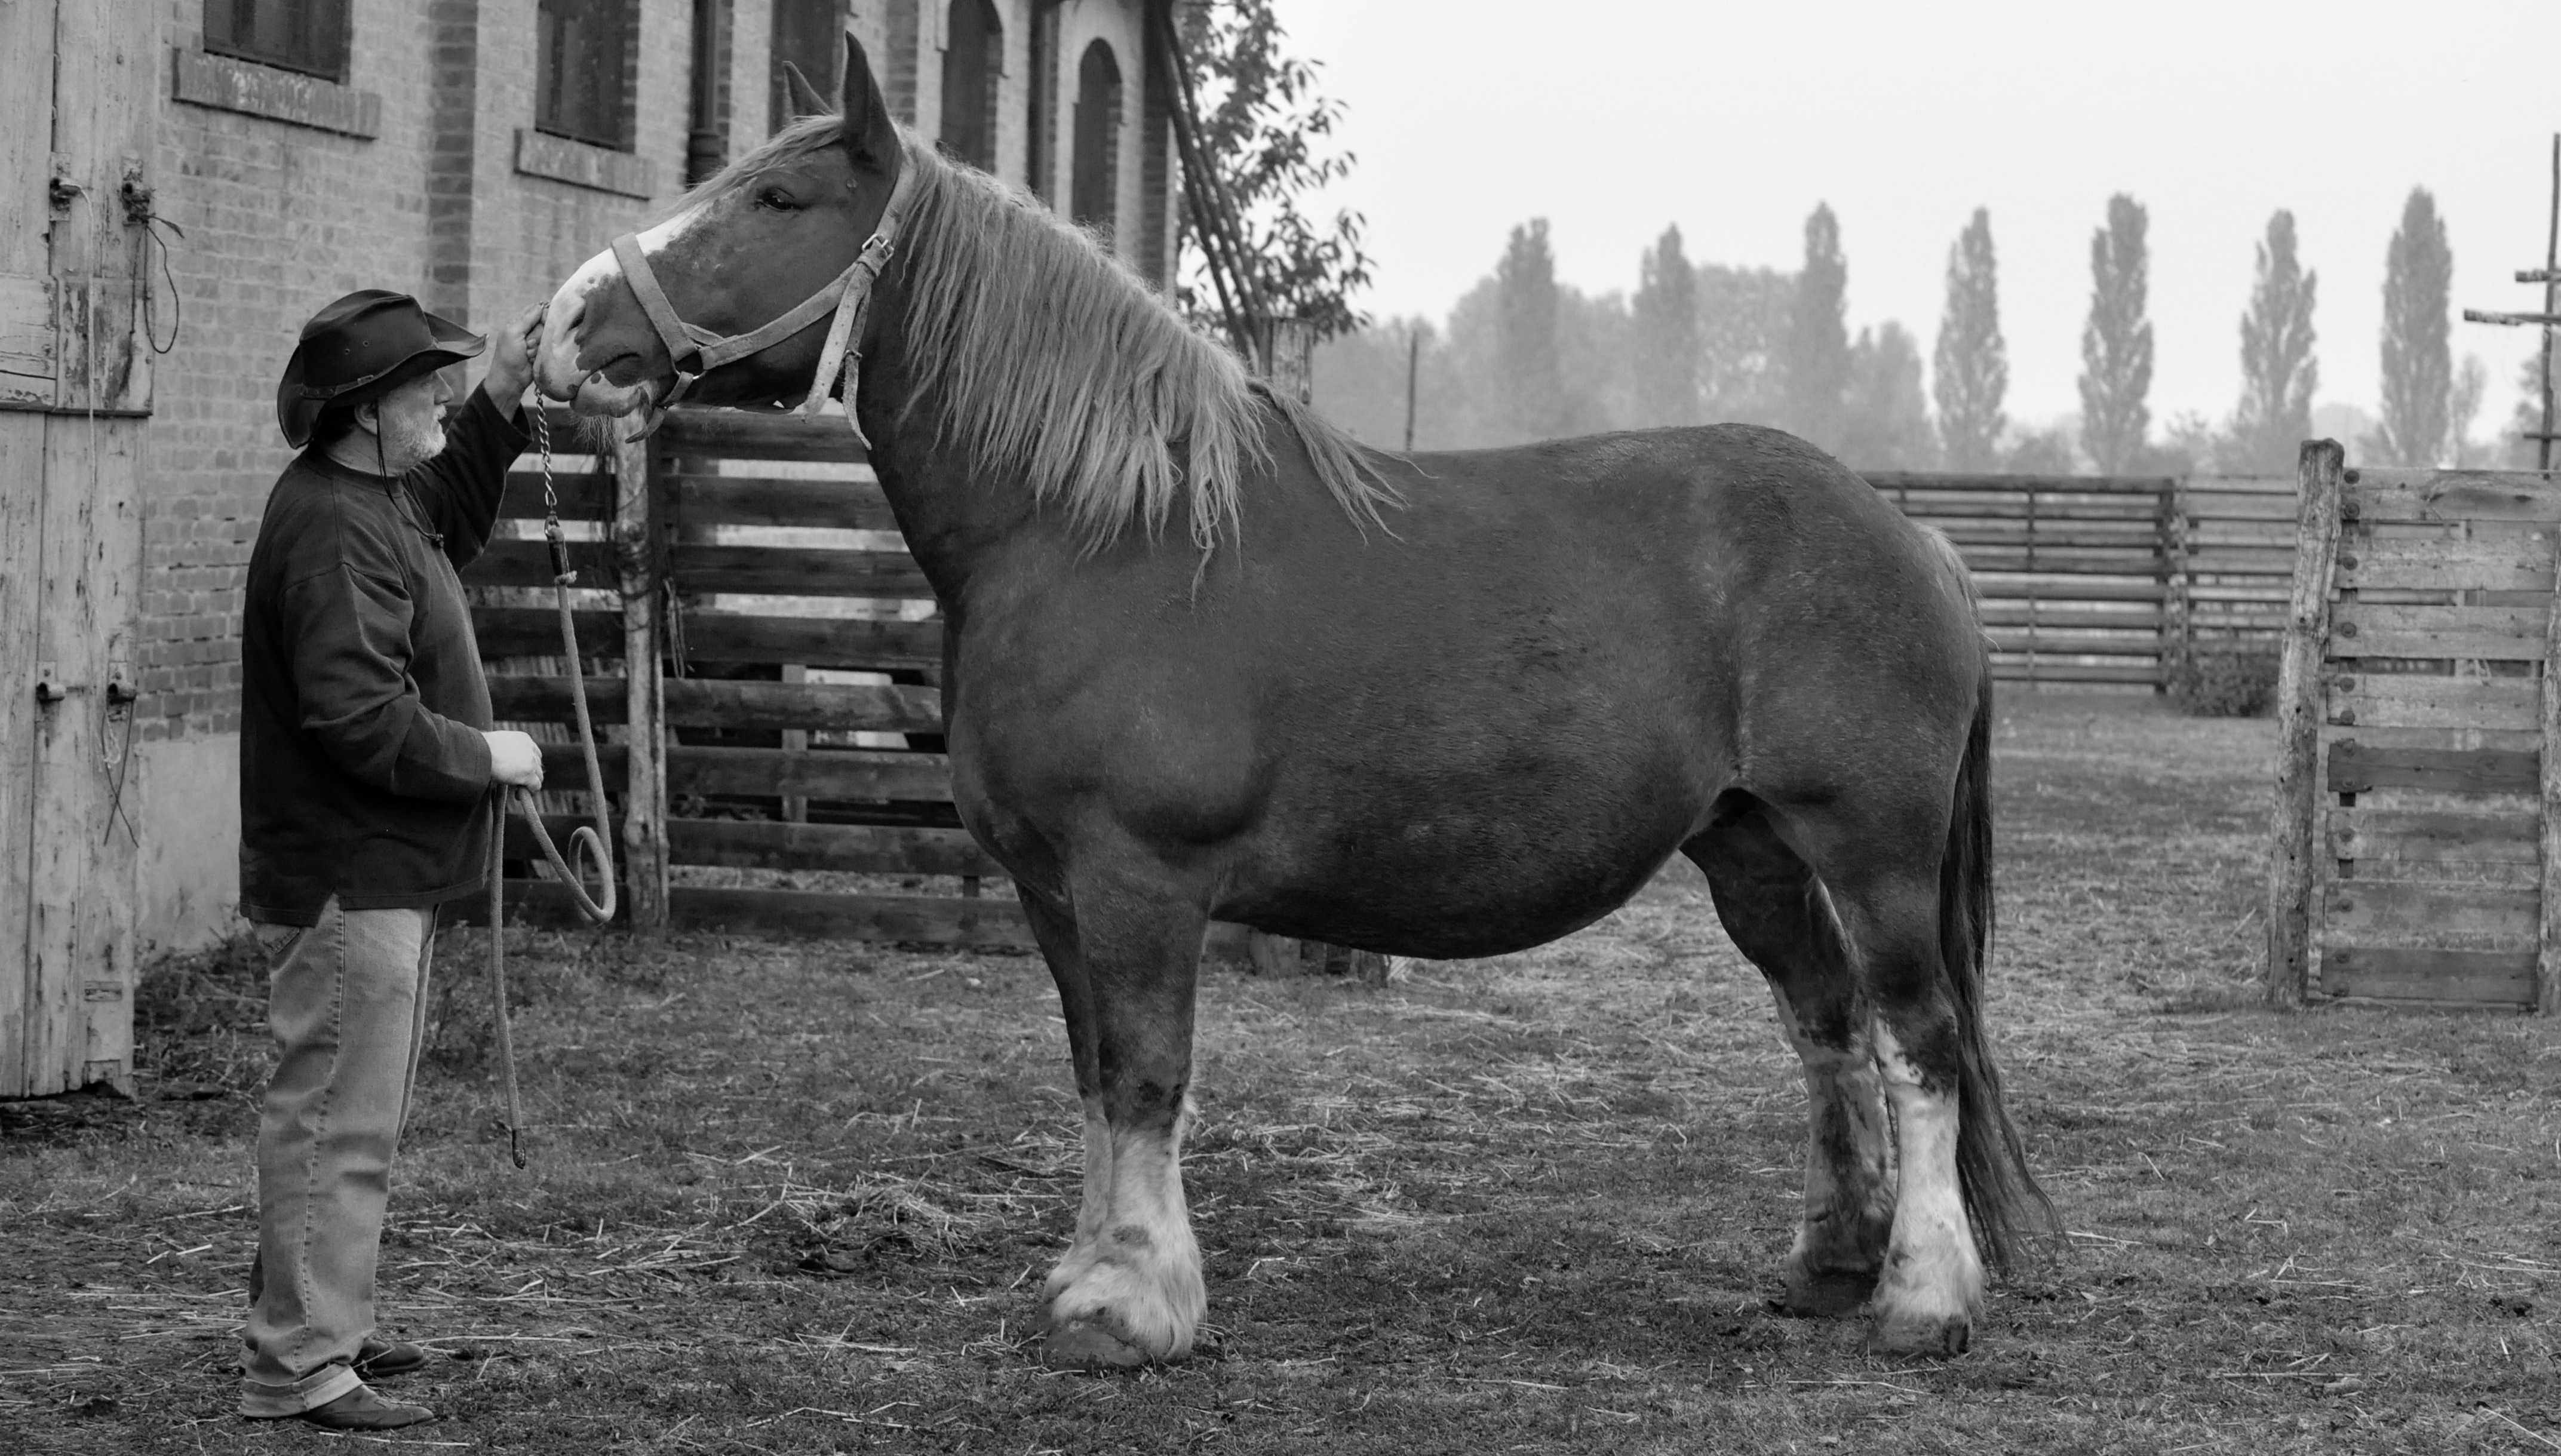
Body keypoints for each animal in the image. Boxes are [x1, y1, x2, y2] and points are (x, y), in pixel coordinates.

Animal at [533, 35, 2053, 1368]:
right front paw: (1088, 1276)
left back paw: (1921, 1299)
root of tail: (1909, 538)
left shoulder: (1139, 878)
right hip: (1746, 846)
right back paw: (1826, 1266)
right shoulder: (1049, 887)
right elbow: (1091, 1068)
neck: (1099, 529)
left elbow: (1146, 1072)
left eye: (778, 201)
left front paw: (1130, 1308)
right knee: (1824, 1023)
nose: (562, 327)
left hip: (1869, 846)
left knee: (1916, 1039)